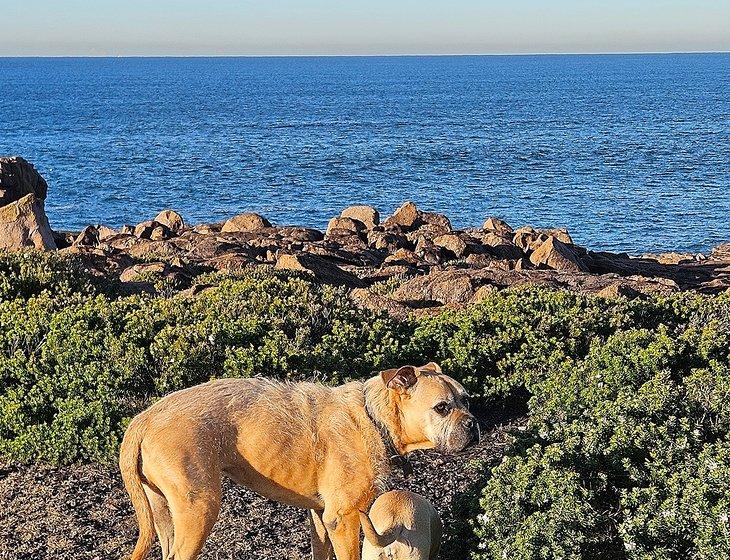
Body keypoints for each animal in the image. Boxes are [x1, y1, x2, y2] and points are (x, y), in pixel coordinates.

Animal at [119, 364, 478, 560]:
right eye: (442, 407)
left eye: (466, 399)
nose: (474, 424)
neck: (372, 418)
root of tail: (143, 419)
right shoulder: (343, 519)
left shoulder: (321, 517)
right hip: (199, 506)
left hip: (162, 508)